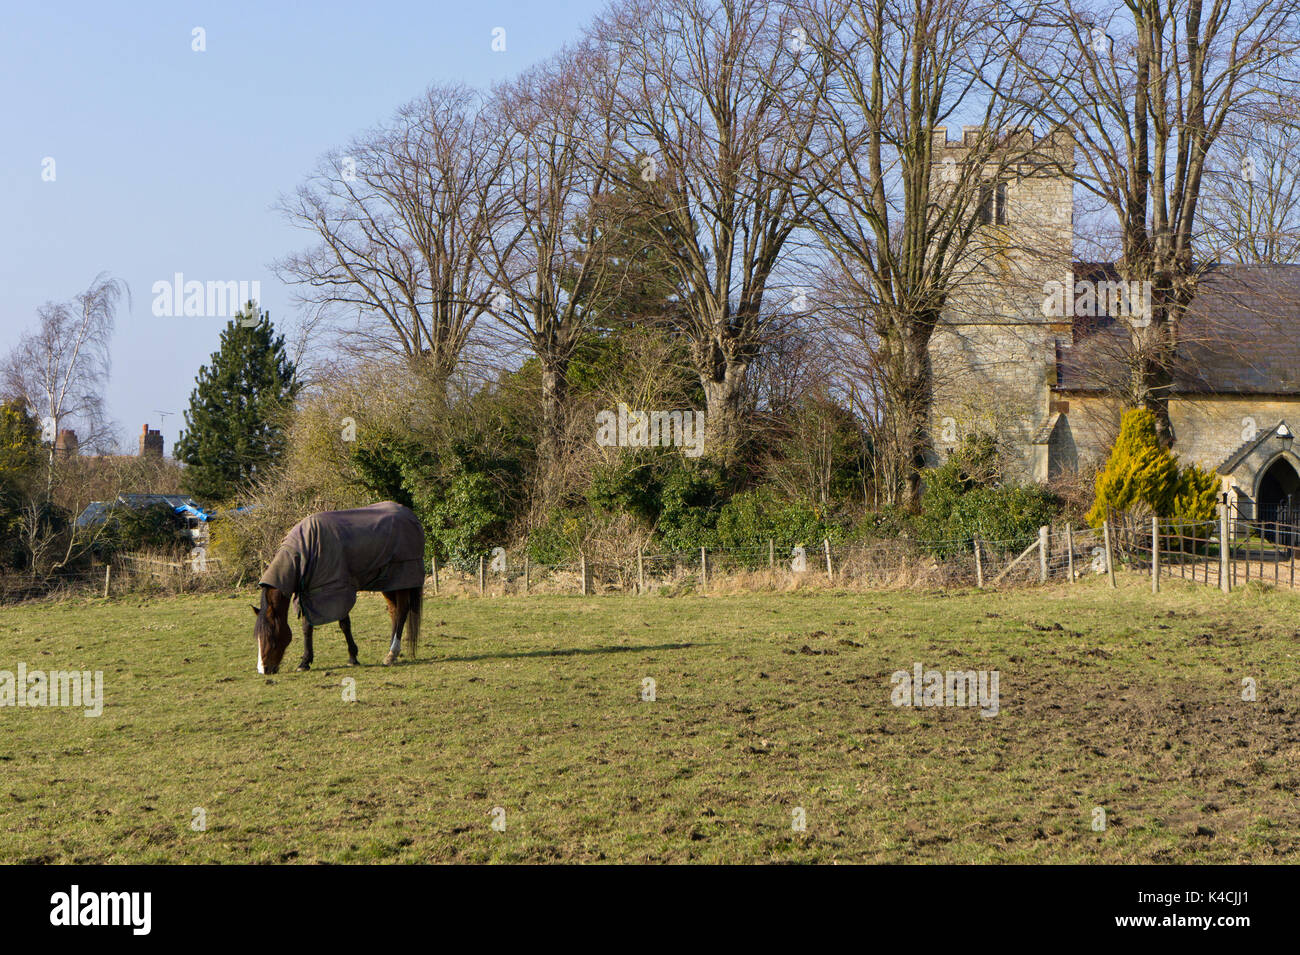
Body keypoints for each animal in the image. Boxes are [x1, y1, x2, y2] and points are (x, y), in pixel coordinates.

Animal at [251, 501, 425, 674]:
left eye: (271, 637)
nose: (263, 670)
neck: (306, 551)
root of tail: (410, 515)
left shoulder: (336, 591)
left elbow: (342, 625)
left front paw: (350, 658)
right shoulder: (308, 595)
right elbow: (308, 627)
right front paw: (307, 661)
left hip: (403, 579)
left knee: (401, 612)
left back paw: (392, 653)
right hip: (388, 584)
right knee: (394, 612)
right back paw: (390, 653)